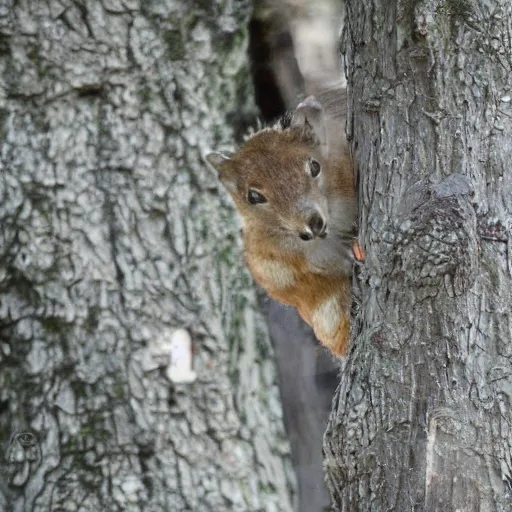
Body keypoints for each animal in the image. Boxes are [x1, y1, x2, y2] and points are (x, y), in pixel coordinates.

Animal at [206, 92, 358, 356]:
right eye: (254, 197)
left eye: (315, 166)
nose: (313, 224)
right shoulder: (274, 260)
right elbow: (311, 268)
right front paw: (346, 257)